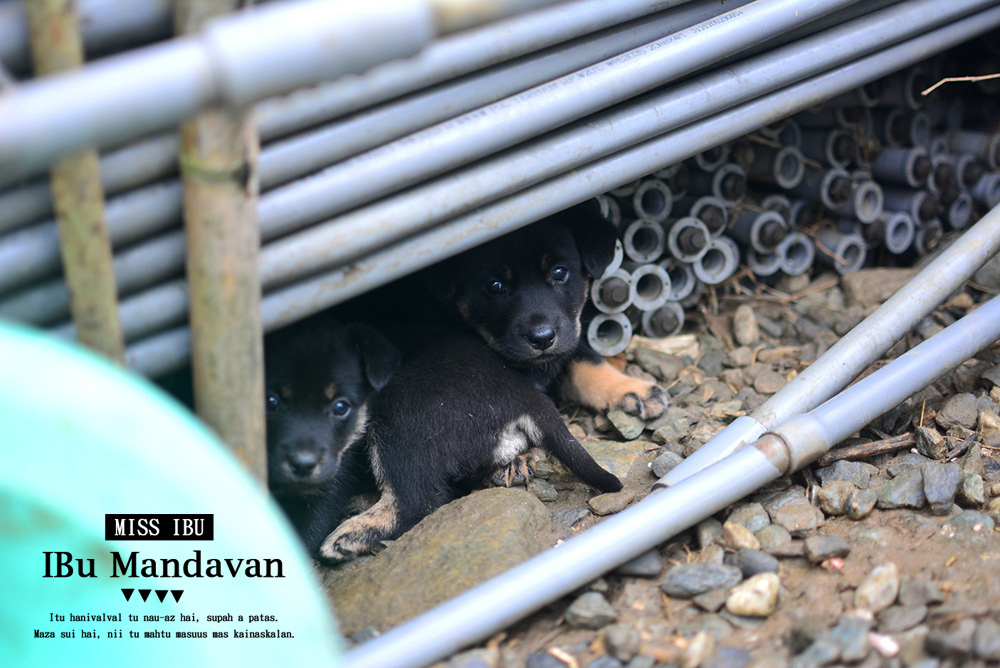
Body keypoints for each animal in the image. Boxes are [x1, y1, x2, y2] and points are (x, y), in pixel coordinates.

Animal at [424, 198, 668, 420]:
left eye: (559, 272)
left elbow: (588, 361)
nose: (542, 339)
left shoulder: (567, 342)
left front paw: (634, 389)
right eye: (494, 286)